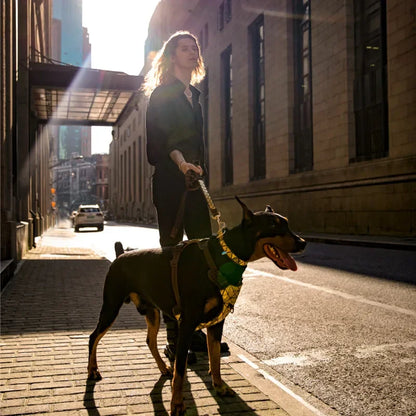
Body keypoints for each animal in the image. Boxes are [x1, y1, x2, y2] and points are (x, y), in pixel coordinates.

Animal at [88, 197, 308, 414]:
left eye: (287, 224)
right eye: (273, 225)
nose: (303, 243)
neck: (224, 255)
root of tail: (119, 255)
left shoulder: (217, 322)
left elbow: (215, 357)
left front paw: (219, 386)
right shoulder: (187, 323)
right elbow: (181, 369)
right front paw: (177, 403)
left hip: (152, 311)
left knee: (150, 341)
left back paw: (163, 368)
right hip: (111, 306)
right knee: (93, 337)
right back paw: (93, 370)